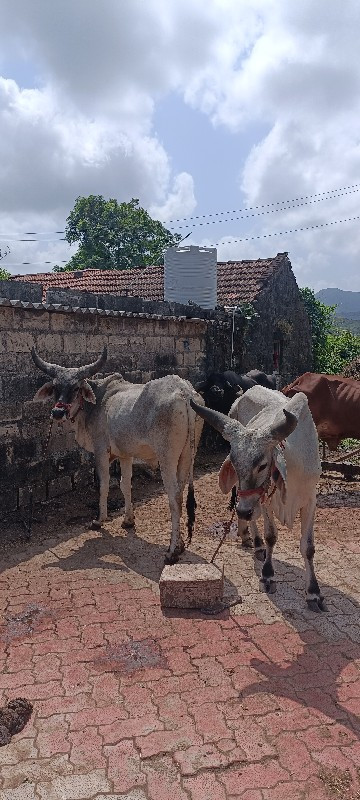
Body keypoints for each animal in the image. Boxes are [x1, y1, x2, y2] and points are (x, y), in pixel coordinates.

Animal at [31, 346, 202, 564]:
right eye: (54, 387)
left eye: (76, 388)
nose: (57, 413)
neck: (95, 404)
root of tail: (184, 392)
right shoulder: (125, 455)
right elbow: (125, 485)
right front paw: (128, 520)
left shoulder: (101, 451)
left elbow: (104, 484)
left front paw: (99, 520)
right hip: (187, 456)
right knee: (180, 492)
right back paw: (179, 545)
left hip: (167, 459)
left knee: (174, 498)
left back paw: (171, 551)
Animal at [191, 388, 324, 612]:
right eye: (235, 464)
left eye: (262, 465)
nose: (243, 511)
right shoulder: (266, 500)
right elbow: (271, 536)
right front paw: (268, 576)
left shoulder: (310, 500)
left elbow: (308, 547)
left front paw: (314, 593)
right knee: (254, 520)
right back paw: (254, 541)